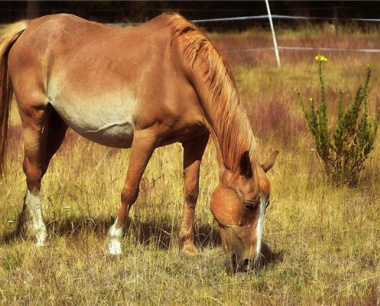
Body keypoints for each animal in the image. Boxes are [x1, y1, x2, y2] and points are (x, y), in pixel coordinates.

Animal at [0, 12, 280, 272]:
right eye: (249, 205)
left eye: (266, 204)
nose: (249, 262)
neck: (178, 69)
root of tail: (30, 26)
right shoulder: (145, 137)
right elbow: (130, 190)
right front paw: (114, 243)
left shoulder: (195, 140)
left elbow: (191, 192)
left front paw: (187, 246)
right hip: (33, 116)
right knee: (33, 171)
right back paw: (40, 235)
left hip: (56, 123)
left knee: (35, 170)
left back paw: (25, 227)